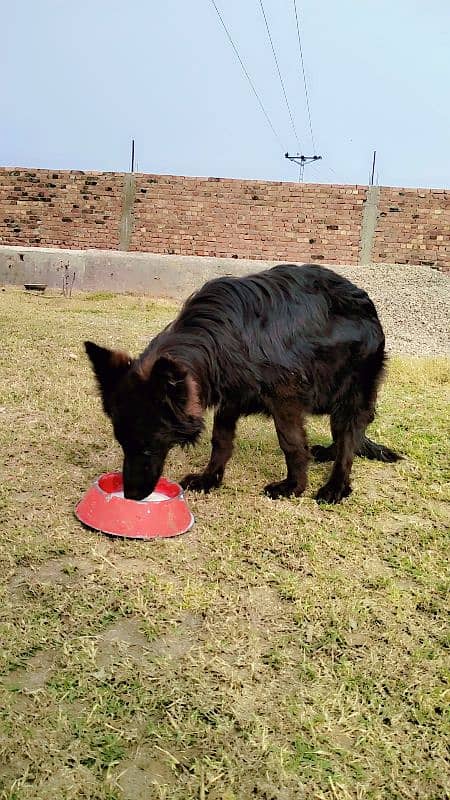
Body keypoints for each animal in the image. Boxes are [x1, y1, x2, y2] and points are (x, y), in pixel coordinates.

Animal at [85, 266, 400, 504]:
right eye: (122, 443)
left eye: (149, 445)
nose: (131, 495)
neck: (219, 338)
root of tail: (368, 308)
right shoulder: (231, 396)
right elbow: (221, 440)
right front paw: (210, 478)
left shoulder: (285, 399)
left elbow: (291, 444)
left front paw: (294, 486)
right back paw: (329, 454)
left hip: (351, 394)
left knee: (348, 440)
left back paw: (336, 485)